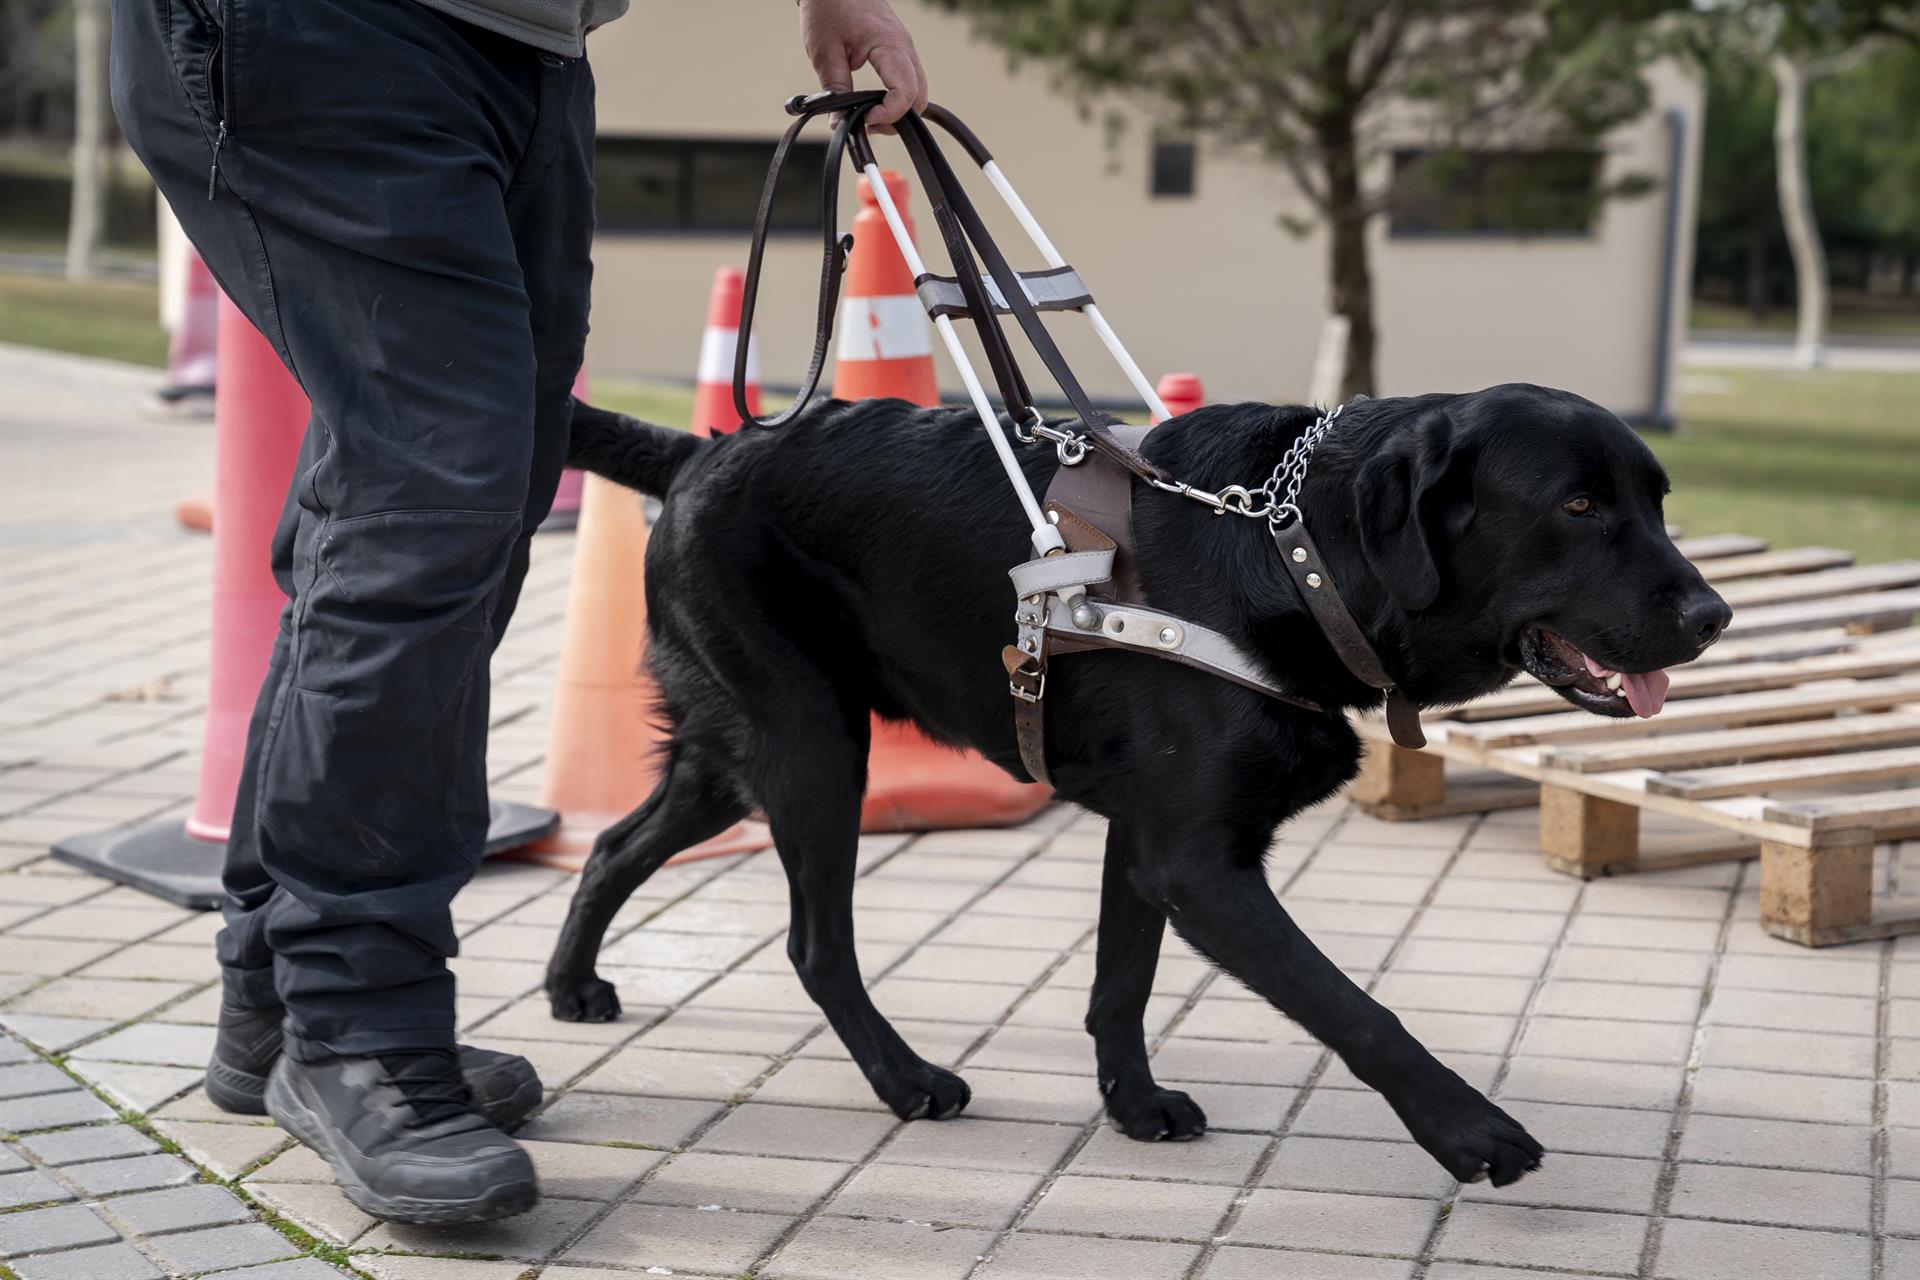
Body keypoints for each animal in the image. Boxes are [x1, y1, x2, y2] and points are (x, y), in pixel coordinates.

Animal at [549, 385, 1735, 1189]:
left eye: (1658, 502)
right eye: (1578, 505)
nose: (1715, 614)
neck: (1293, 549)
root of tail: (699, 451)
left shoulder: (1149, 837)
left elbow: (1121, 984)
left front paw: (1132, 1104)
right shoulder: (1199, 864)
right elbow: (1357, 1007)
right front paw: (1471, 1130)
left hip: (734, 752)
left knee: (613, 843)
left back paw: (571, 986)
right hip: (814, 744)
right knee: (812, 941)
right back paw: (905, 1078)